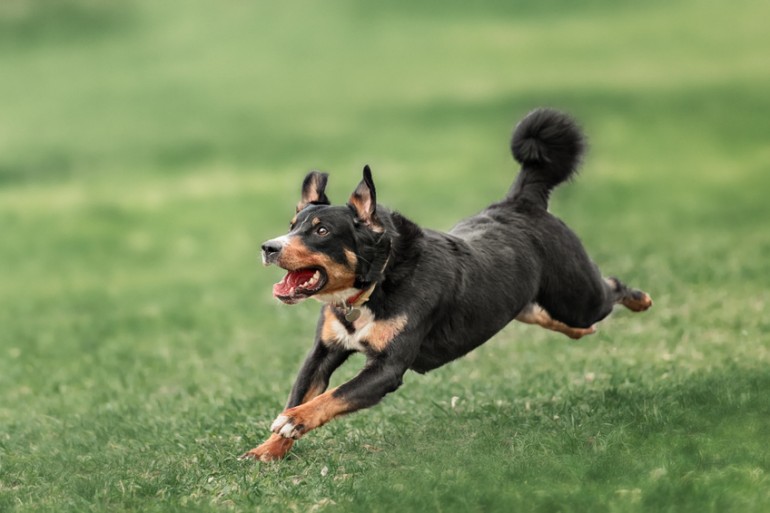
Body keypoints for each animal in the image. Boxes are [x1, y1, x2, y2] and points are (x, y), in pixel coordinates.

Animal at [240, 108, 648, 460]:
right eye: (292, 226)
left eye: (321, 231)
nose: (269, 247)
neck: (375, 286)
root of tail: (521, 202)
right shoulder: (323, 352)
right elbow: (302, 393)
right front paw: (266, 451)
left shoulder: (387, 367)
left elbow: (330, 397)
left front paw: (293, 422)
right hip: (534, 304)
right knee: (544, 314)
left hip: (579, 297)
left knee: (610, 287)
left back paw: (640, 299)